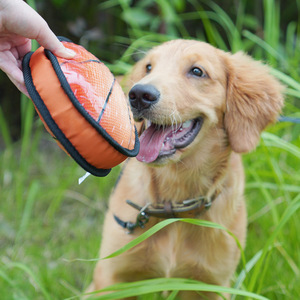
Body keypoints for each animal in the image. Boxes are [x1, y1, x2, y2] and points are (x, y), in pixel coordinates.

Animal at [86, 39, 284, 300]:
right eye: (148, 67)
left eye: (197, 71)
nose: (138, 95)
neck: (175, 203)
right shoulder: (111, 278)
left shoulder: (213, 284)